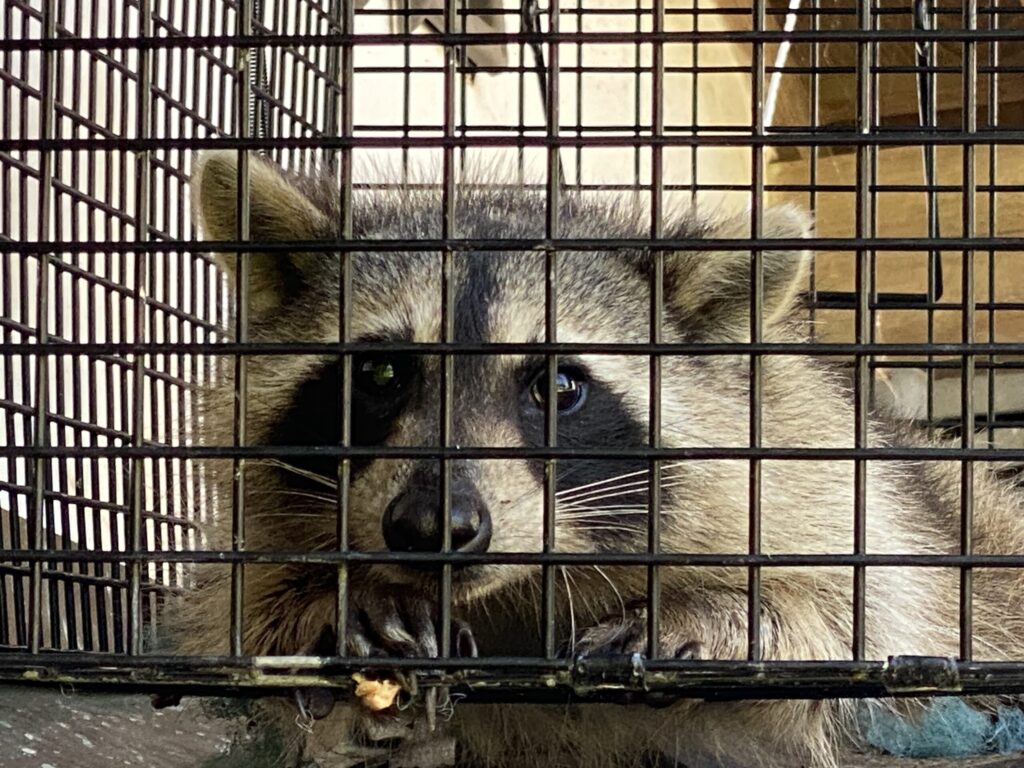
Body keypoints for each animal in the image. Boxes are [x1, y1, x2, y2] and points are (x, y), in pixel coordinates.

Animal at [178, 147, 1024, 765]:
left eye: (558, 385)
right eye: (383, 373)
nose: (431, 525)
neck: (519, 592)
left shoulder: (822, 486)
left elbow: (858, 620)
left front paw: (719, 613)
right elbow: (246, 616)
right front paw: (332, 600)